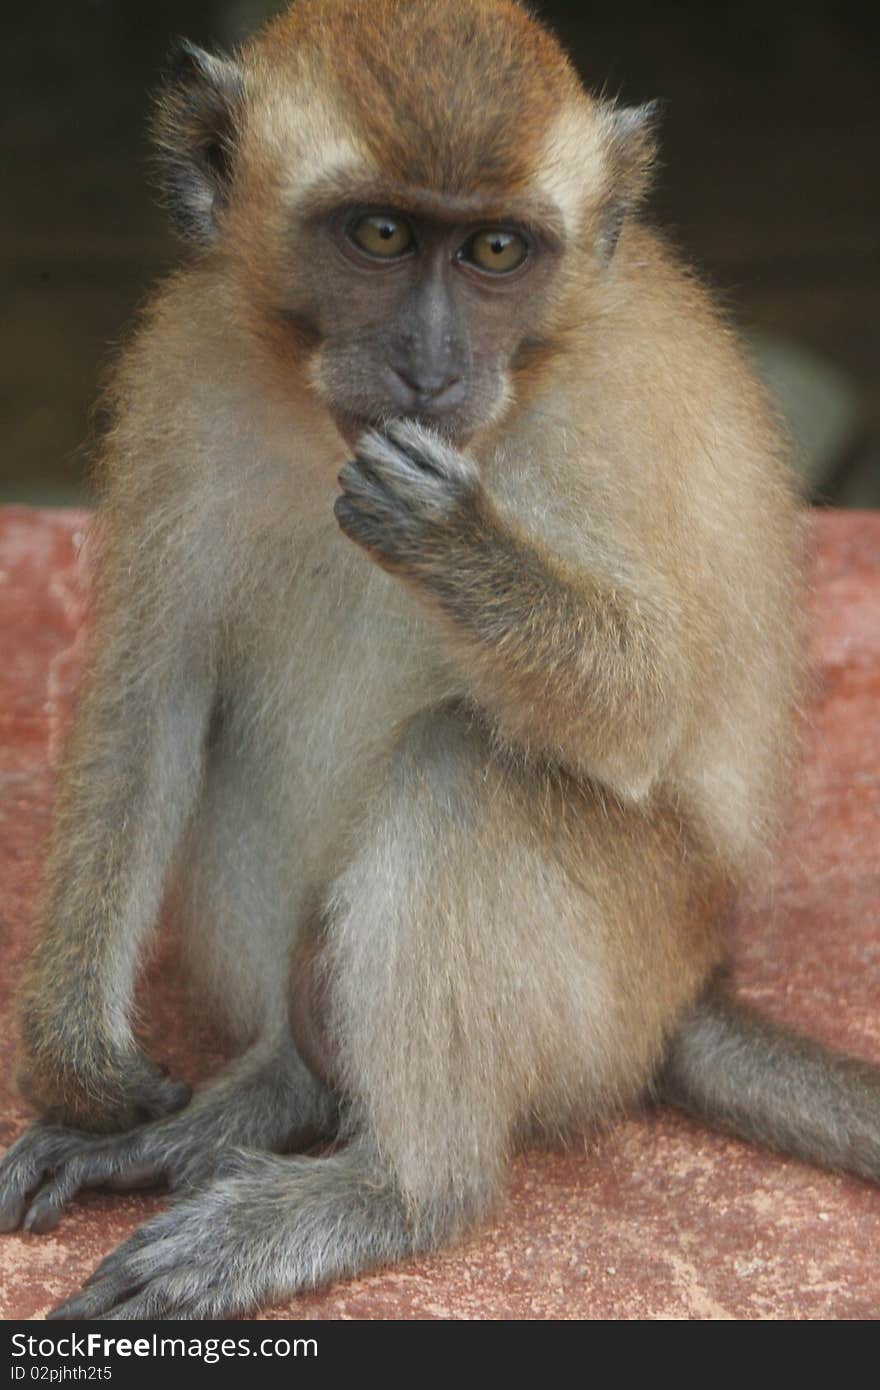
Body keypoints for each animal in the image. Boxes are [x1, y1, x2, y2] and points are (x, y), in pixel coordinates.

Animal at [1, 0, 878, 1317]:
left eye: (496, 253)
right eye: (380, 234)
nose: (428, 366)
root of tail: (693, 985)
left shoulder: (604, 426)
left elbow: (648, 710)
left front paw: (455, 539)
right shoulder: (184, 373)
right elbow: (151, 697)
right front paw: (80, 1065)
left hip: (619, 969)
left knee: (468, 764)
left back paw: (395, 1191)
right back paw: (259, 1098)